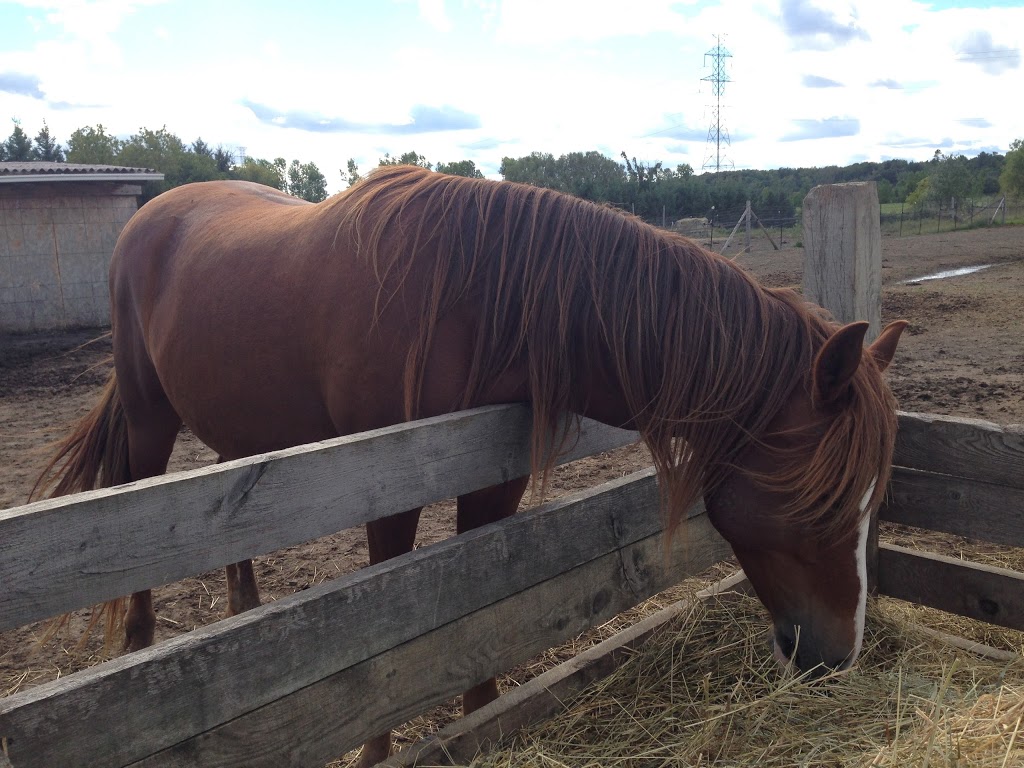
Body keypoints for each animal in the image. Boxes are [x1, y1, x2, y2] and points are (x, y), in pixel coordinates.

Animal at [36, 165, 909, 765]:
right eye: (827, 505)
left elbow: (481, 611)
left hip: (241, 425)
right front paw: (376, 748)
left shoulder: (493, 476)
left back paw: (241, 613)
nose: (839, 656)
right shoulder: (384, 483)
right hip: (150, 416)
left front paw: (482, 721)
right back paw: (139, 647)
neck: (480, 295)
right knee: (137, 502)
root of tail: (153, 211)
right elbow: (384, 626)